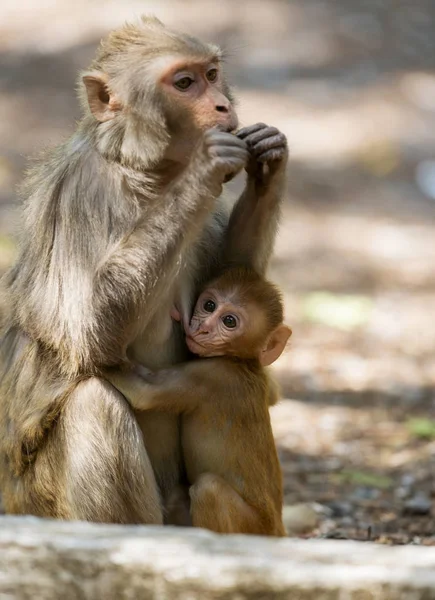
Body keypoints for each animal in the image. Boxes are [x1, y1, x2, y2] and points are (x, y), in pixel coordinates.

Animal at [109, 270, 292, 536]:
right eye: (209, 305)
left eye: (229, 321)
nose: (202, 327)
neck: (240, 361)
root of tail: (278, 531)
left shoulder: (211, 375)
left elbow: (143, 392)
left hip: (254, 527)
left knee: (209, 489)